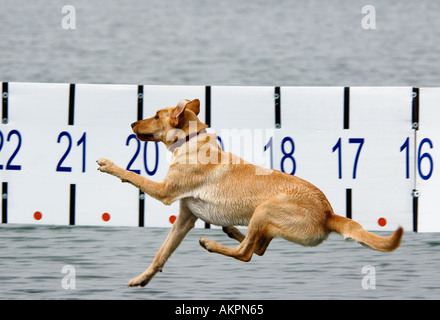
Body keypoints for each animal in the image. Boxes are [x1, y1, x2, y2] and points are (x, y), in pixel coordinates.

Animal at [98, 98, 404, 288]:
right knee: (258, 247)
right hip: (265, 219)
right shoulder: (185, 218)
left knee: (246, 253)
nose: (131, 124)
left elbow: (133, 175)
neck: (191, 141)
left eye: (156, 116)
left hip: (265, 209)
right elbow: (161, 255)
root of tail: (329, 213)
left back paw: (213, 243)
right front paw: (142, 279)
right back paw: (232, 231)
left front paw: (110, 165)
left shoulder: (164, 192)